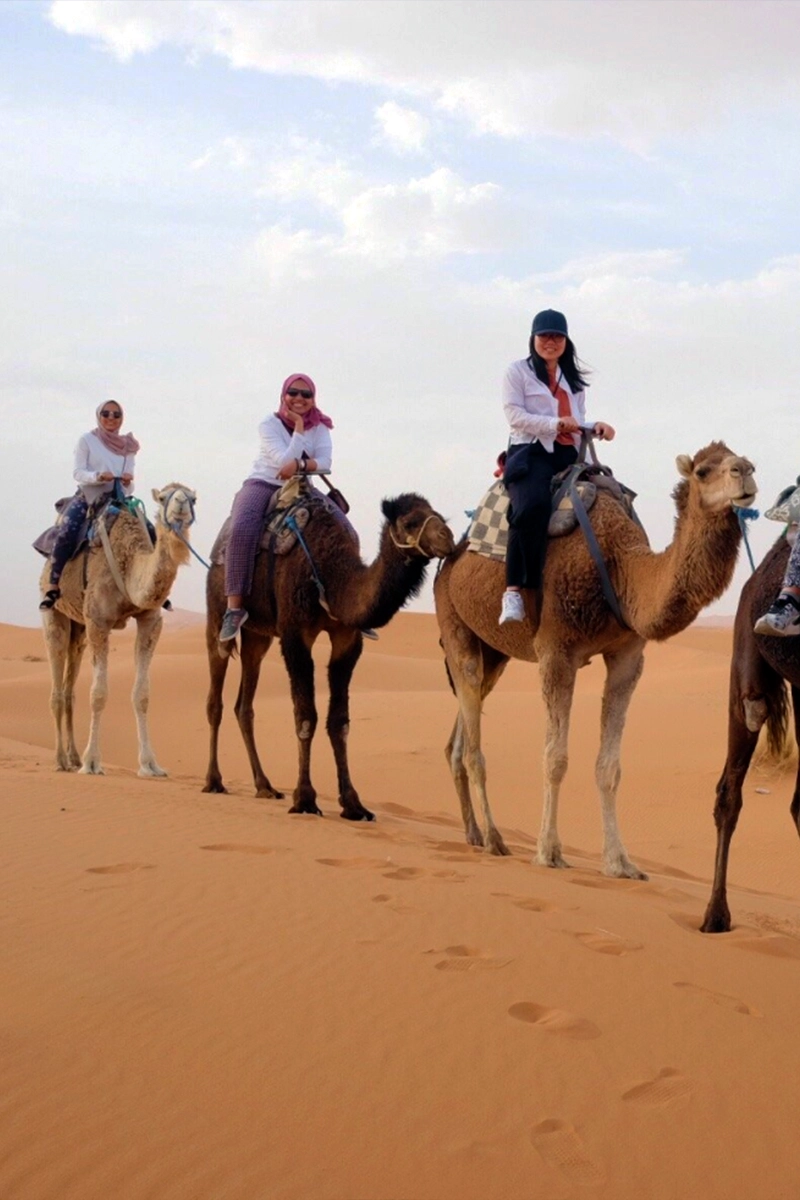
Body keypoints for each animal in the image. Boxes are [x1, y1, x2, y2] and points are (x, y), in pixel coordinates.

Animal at [40, 484, 197, 777]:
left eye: (193, 498)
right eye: (163, 497)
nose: (181, 503)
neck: (129, 564)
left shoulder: (150, 620)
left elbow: (142, 694)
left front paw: (150, 764)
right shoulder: (98, 621)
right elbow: (98, 693)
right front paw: (92, 762)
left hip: (79, 629)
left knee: (69, 691)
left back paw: (73, 756)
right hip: (54, 612)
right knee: (56, 684)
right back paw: (60, 760)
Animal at [203, 489, 455, 817]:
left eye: (440, 515)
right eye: (410, 521)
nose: (448, 537)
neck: (331, 576)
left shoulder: (347, 639)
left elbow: (340, 722)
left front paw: (353, 804)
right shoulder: (295, 635)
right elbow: (305, 715)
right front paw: (305, 798)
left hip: (258, 634)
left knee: (244, 705)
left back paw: (265, 786)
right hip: (217, 609)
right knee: (216, 696)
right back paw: (214, 780)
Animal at [435, 441, 756, 877]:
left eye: (745, 461)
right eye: (704, 471)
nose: (746, 472)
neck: (623, 573)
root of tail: (450, 557)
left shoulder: (628, 656)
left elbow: (610, 767)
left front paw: (620, 862)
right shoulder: (556, 649)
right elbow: (555, 758)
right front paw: (548, 851)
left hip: (495, 653)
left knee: (462, 732)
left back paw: (472, 832)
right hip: (455, 624)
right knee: (473, 742)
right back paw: (494, 838)